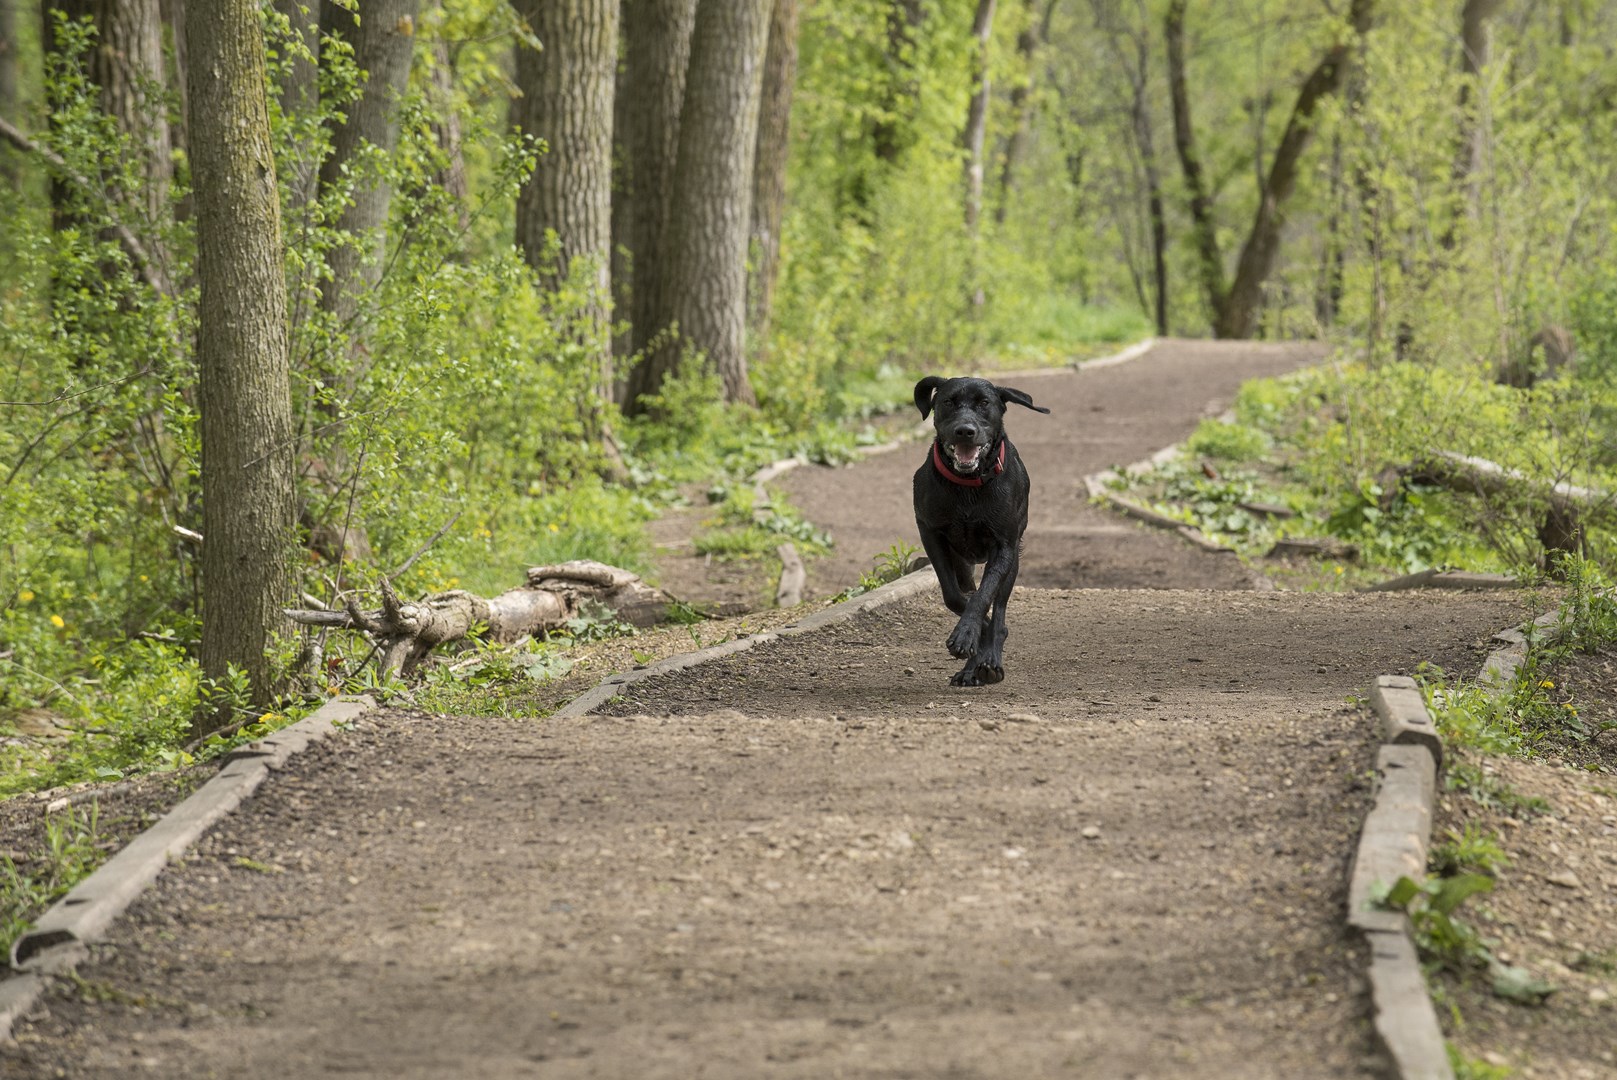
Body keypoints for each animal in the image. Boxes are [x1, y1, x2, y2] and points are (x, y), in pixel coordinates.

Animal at [911, 375, 1047, 688]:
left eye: (984, 403)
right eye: (948, 402)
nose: (965, 430)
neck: (968, 484)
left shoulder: (1004, 546)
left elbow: (984, 596)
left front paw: (969, 635)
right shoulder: (930, 533)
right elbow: (954, 596)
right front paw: (973, 633)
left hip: (1013, 562)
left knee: (999, 610)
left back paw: (989, 661)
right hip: (962, 562)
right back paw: (972, 665)